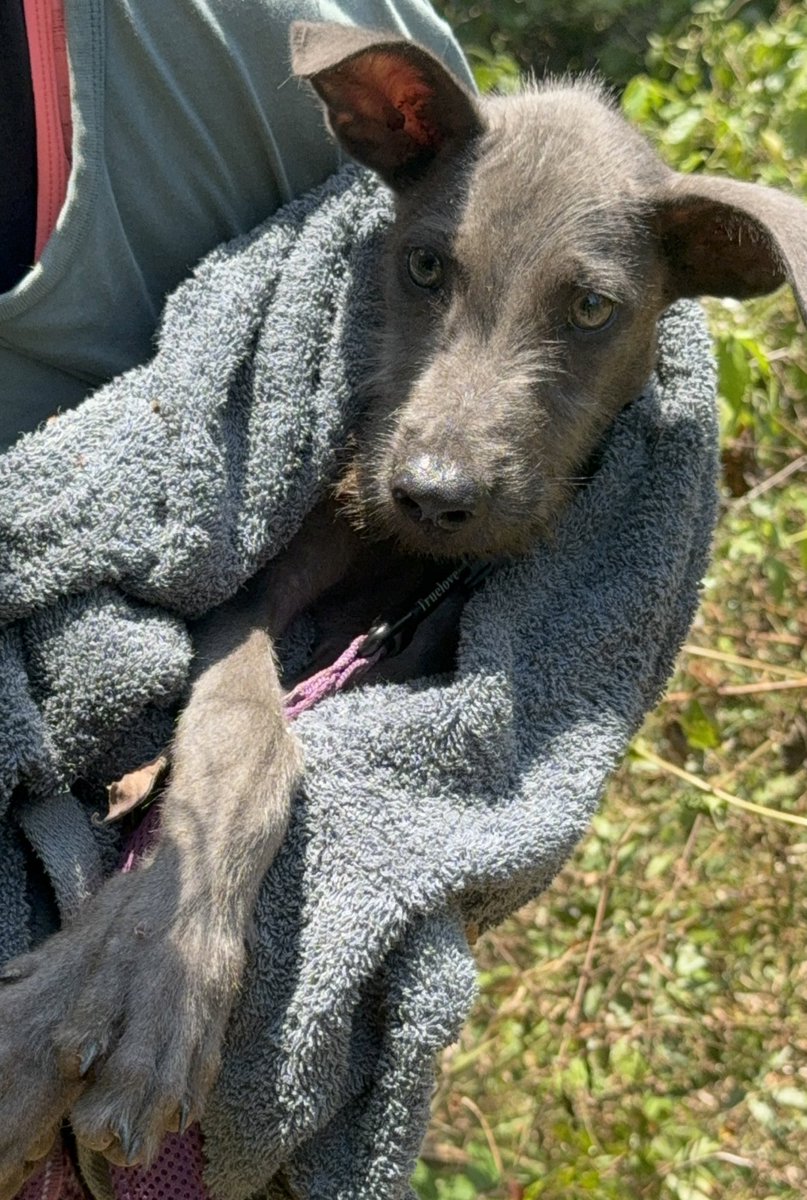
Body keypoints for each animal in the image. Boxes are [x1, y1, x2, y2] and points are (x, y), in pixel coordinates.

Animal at [1, 18, 806, 1190]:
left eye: (592, 308)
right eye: (424, 265)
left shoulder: (438, 613)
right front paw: (150, 986)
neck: (399, 556)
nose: (432, 492)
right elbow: (245, 739)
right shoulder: (260, 587)